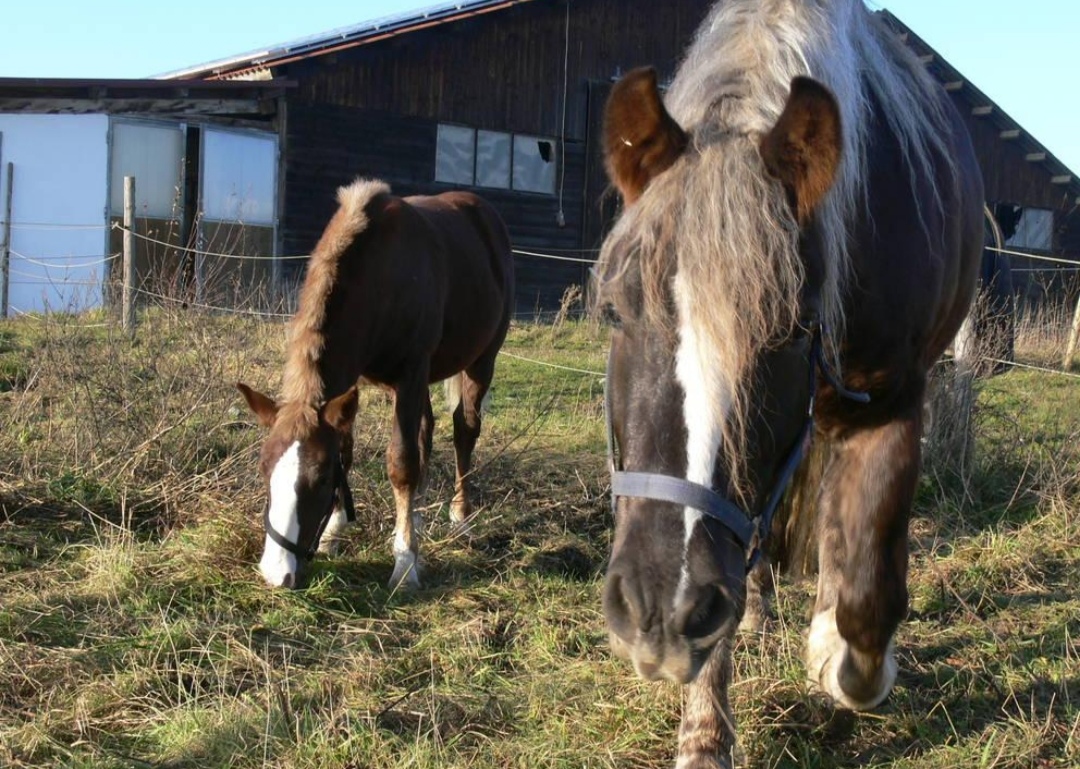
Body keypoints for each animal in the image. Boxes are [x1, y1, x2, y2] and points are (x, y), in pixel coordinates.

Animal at [238, 178, 514, 590]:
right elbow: (349, 448)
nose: (277, 573)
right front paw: (335, 532)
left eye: (320, 480)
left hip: (481, 361)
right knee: (426, 430)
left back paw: (460, 515)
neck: (381, 276)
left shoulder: (412, 372)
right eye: (263, 469)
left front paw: (406, 562)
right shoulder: (355, 382)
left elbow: (401, 462)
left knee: (464, 430)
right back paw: (416, 516)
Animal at [593, 2, 983, 766]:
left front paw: (844, 656)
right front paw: (705, 736)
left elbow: (866, 581)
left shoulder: (894, 401)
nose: (657, 607)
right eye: (616, 310)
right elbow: (726, 593)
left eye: (792, 329)